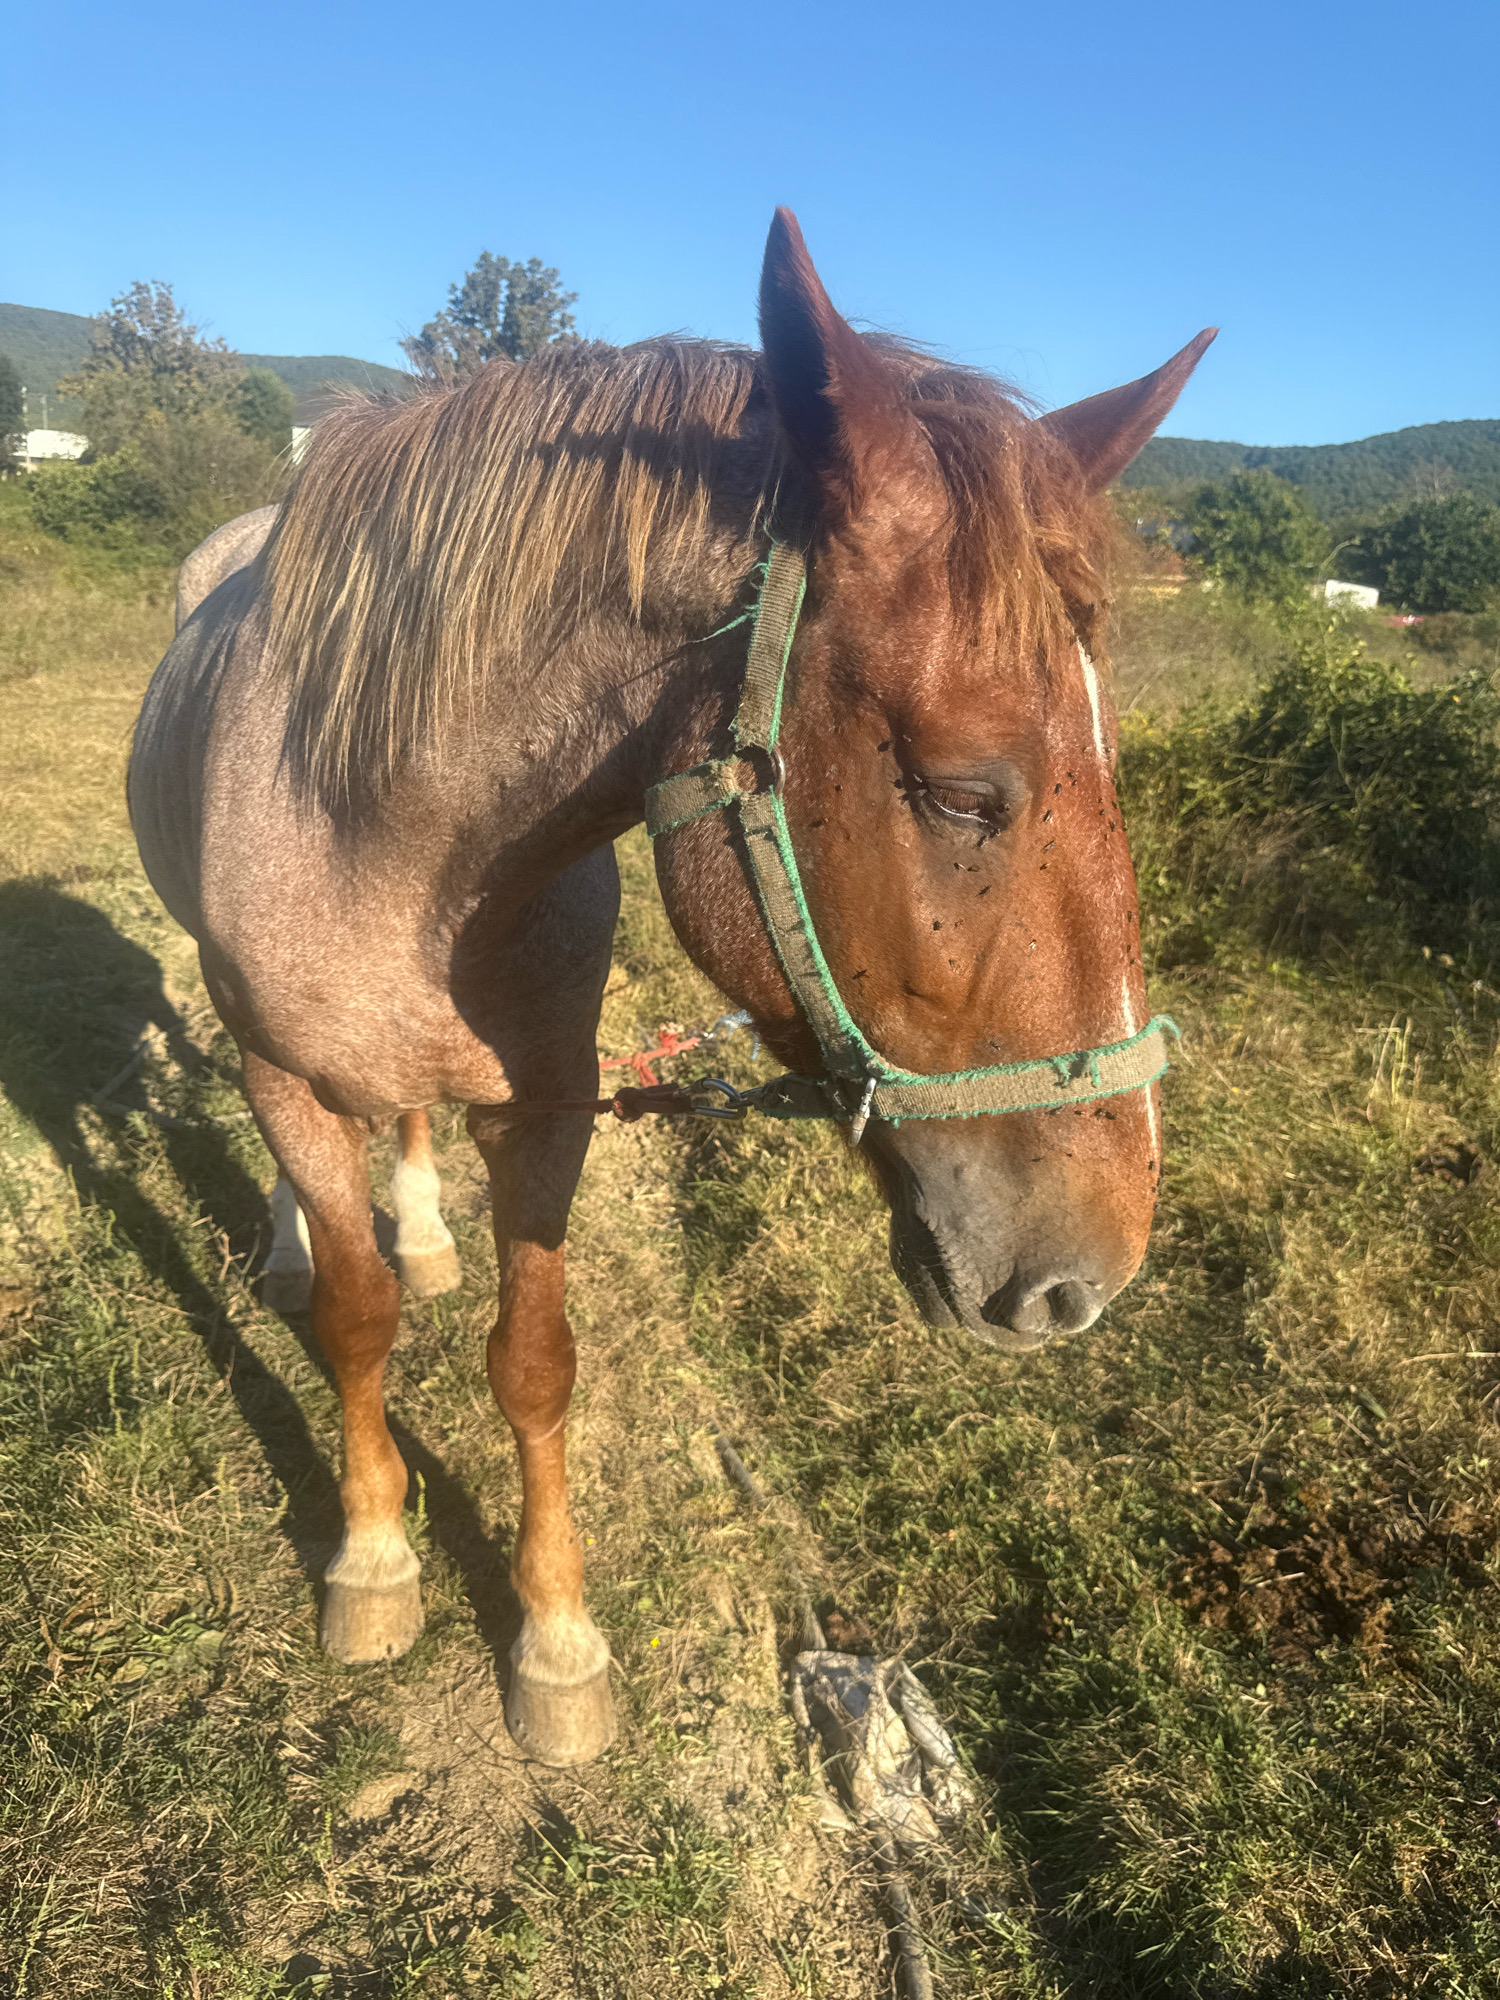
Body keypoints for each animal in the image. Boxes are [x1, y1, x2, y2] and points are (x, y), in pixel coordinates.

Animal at [129, 209, 1213, 1767]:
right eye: (962, 793)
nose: (1094, 1274)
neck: (385, 830)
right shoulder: (288, 1074)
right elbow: (354, 1322)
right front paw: (376, 1559)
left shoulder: (543, 1111)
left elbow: (533, 1361)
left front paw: (556, 1642)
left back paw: (425, 1228)